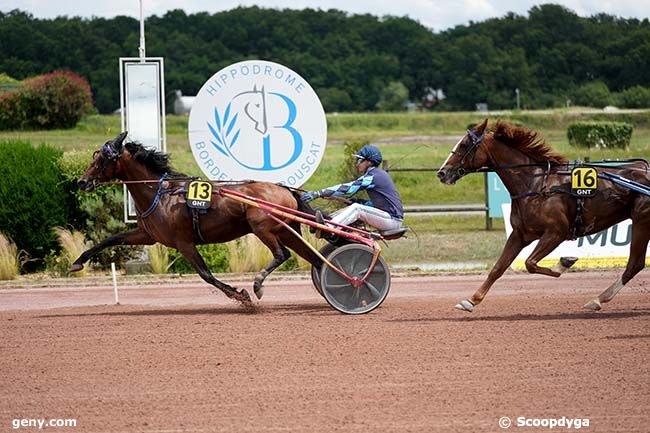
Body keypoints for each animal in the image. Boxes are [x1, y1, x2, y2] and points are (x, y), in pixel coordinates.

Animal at [71, 132, 318, 304]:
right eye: (95, 155)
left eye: (103, 158)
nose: (82, 182)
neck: (161, 195)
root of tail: (286, 189)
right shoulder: (148, 235)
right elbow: (111, 239)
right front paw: (78, 262)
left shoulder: (184, 242)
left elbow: (205, 274)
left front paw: (241, 296)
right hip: (287, 230)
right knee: (312, 258)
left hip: (262, 227)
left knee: (282, 254)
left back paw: (258, 284)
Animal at [436, 120, 648, 312]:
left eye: (465, 144)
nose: (442, 172)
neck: (536, 185)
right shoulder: (520, 234)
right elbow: (499, 268)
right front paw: (471, 300)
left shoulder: (556, 232)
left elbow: (530, 263)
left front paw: (563, 263)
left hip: (642, 219)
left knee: (634, 264)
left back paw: (597, 299)